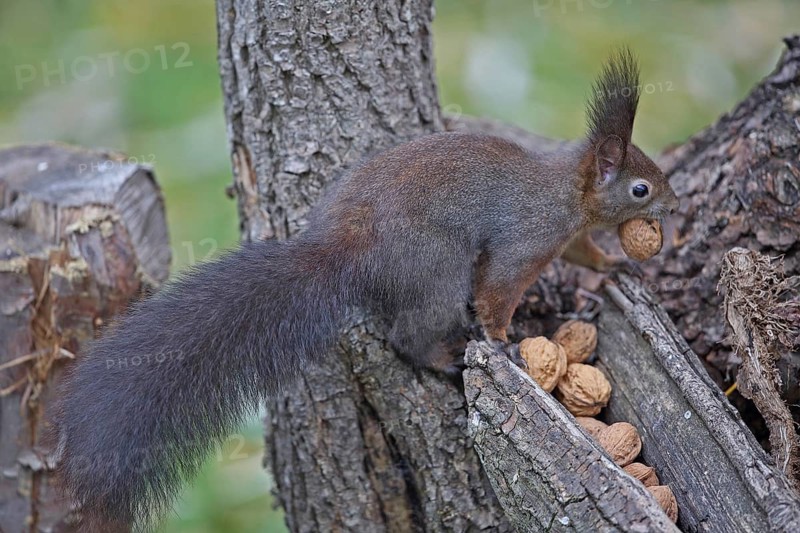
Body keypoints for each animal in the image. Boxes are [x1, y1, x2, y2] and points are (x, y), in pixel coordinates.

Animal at [54, 48, 679, 530]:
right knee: (408, 336)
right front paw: (504, 343)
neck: (567, 190)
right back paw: (444, 358)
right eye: (642, 188)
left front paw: (610, 269)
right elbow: (497, 290)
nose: (673, 207)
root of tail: (348, 250)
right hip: (436, 269)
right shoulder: (527, 239)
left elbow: (583, 254)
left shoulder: (564, 237)